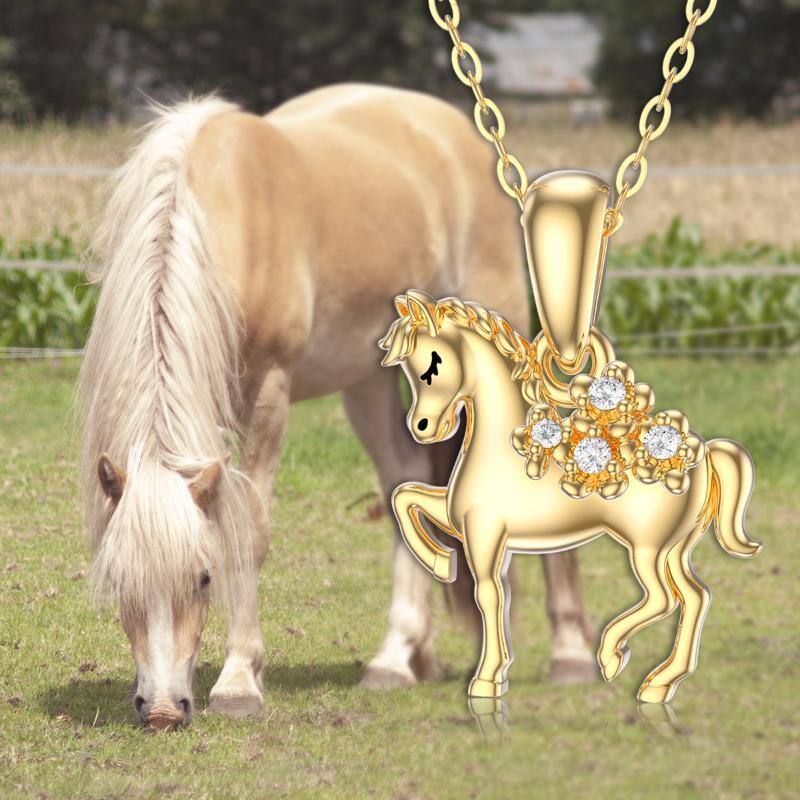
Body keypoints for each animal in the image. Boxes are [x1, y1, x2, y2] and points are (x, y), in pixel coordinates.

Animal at [79, 84, 597, 729]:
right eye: (119, 581)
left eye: (203, 578)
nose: (162, 711)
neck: (219, 217)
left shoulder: (269, 395)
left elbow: (250, 534)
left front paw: (239, 682)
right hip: (369, 382)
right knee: (402, 475)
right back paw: (400, 657)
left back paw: (570, 651)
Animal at [380, 289, 761, 703]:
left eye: (433, 364)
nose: (422, 428)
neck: (499, 452)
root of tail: (703, 453)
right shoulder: (462, 522)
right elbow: (406, 498)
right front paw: (441, 563)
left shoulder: (484, 535)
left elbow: (490, 595)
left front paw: (486, 681)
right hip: (673, 549)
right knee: (695, 597)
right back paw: (658, 685)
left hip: (647, 549)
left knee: (665, 598)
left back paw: (612, 656)